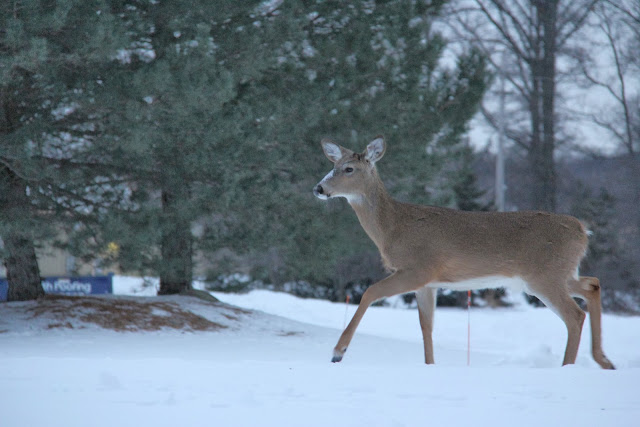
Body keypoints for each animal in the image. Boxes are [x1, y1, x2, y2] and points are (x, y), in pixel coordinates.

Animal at [313, 135, 615, 369]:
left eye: (349, 168)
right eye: (332, 166)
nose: (319, 188)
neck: (393, 227)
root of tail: (582, 230)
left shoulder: (419, 268)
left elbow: (369, 292)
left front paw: (338, 352)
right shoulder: (427, 283)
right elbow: (426, 326)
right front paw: (430, 365)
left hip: (544, 275)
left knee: (575, 315)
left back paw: (569, 366)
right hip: (559, 273)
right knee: (592, 284)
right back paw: (604, 360)